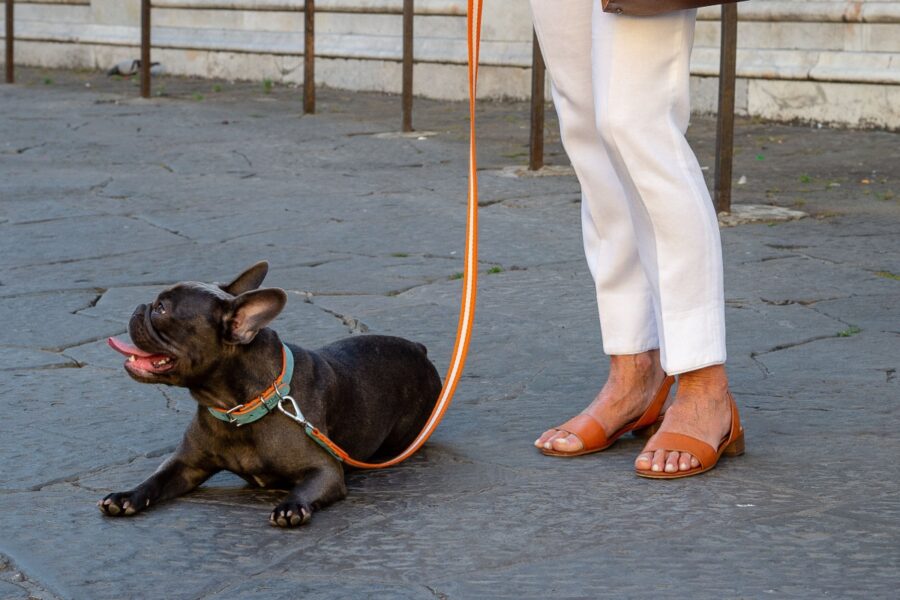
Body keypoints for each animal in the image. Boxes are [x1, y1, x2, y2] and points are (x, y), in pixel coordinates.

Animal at [96, 262, 442, 524]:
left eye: (161, 309)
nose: (139, 307)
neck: (237, 407)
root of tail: (419, 349)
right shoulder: (186, 465)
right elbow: (156, 479)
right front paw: (127, 496)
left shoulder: (325, 471)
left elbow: (305, 489)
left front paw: (291, 507)